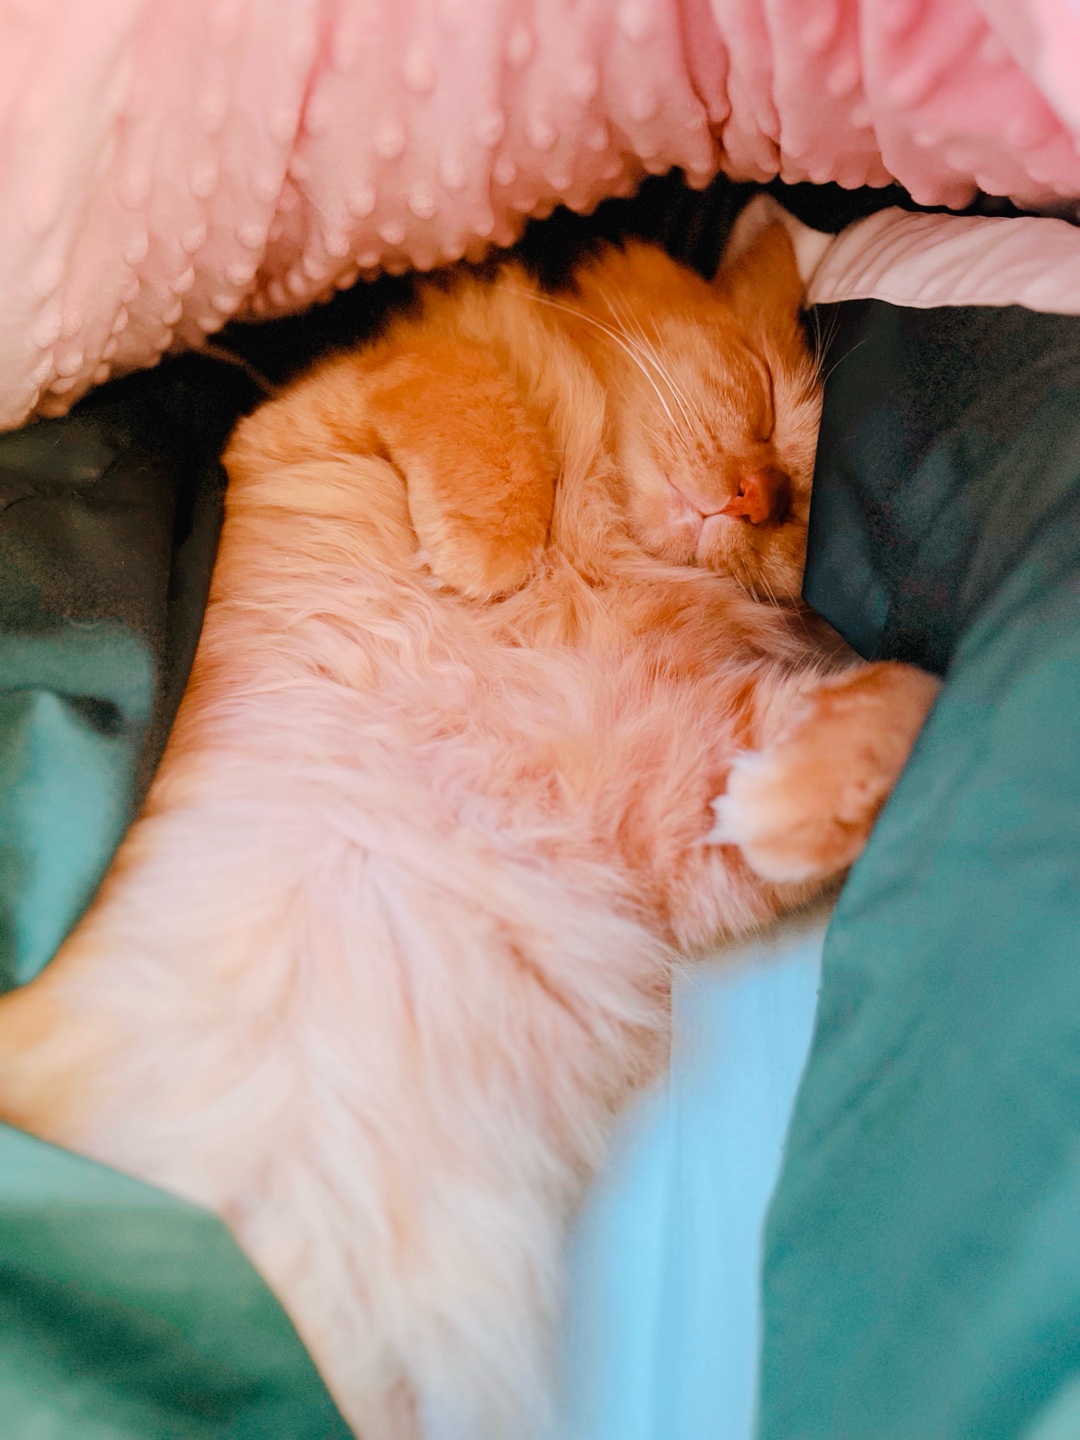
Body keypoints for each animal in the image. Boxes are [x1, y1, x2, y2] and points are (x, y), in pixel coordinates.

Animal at [0, 203, 938, 1440]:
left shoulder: (668, 810)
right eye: (768, 402)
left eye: (797, 508)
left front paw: (799, 792)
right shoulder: (304, 421)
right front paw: (491, 544)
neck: (605, 556)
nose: (754, 499)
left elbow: (910, 705)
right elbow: (467, 389)